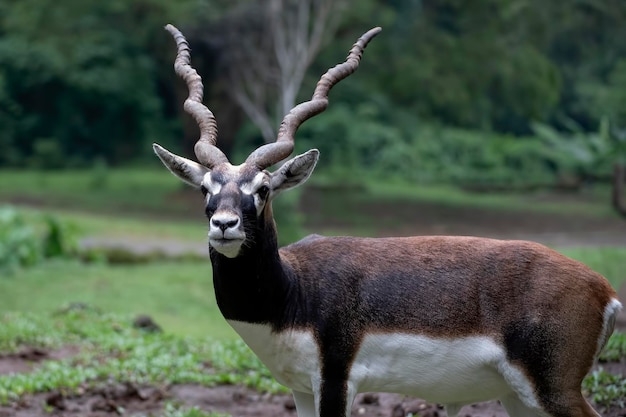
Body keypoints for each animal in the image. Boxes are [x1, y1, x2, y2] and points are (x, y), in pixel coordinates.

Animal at [152, 25, 620, 416]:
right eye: (205, 188)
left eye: (263, 189)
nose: (225, 225)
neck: (294, 290)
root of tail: (605, 290)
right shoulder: (301, 389)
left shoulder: (336, 380)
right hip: (518, 397)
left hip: (553, 390)